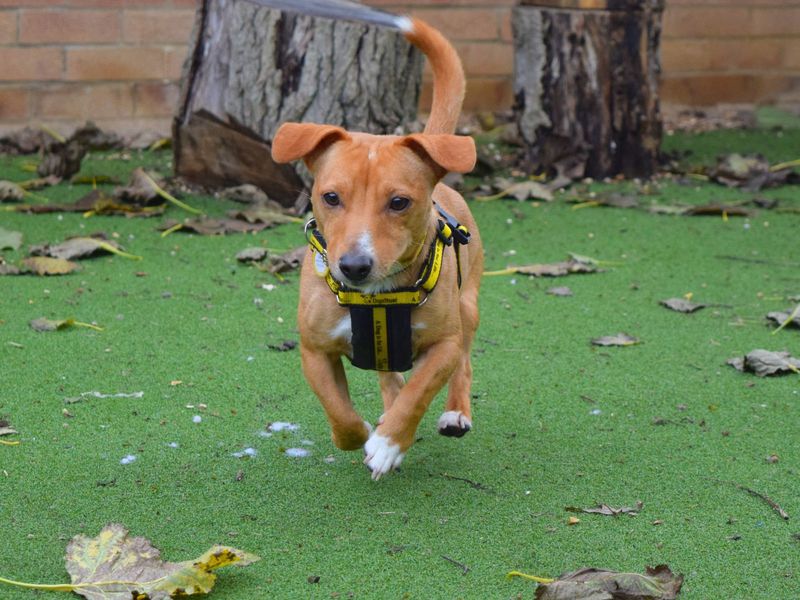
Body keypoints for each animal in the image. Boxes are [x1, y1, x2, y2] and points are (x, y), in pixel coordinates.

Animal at [272, 16, 482, 480]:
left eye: (399, 202)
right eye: (331, 197)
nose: (354, 266)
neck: (377, 299)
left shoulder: (443, 345)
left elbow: (420, 392)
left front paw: (389, 443)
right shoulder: (315, 350)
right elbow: (341, 414)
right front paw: (366, 434)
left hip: (468, 308)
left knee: (462, 364)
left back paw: (454, 413)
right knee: (391, 378)